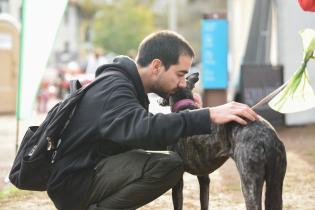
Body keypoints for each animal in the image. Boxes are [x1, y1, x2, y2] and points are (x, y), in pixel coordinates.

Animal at [164, 72, 288, 210]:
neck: (185, 106)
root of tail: (267, 137)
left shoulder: (178, 183)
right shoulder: (204, 178)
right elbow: (204, 203)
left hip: (249, 185)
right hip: (276, 185)